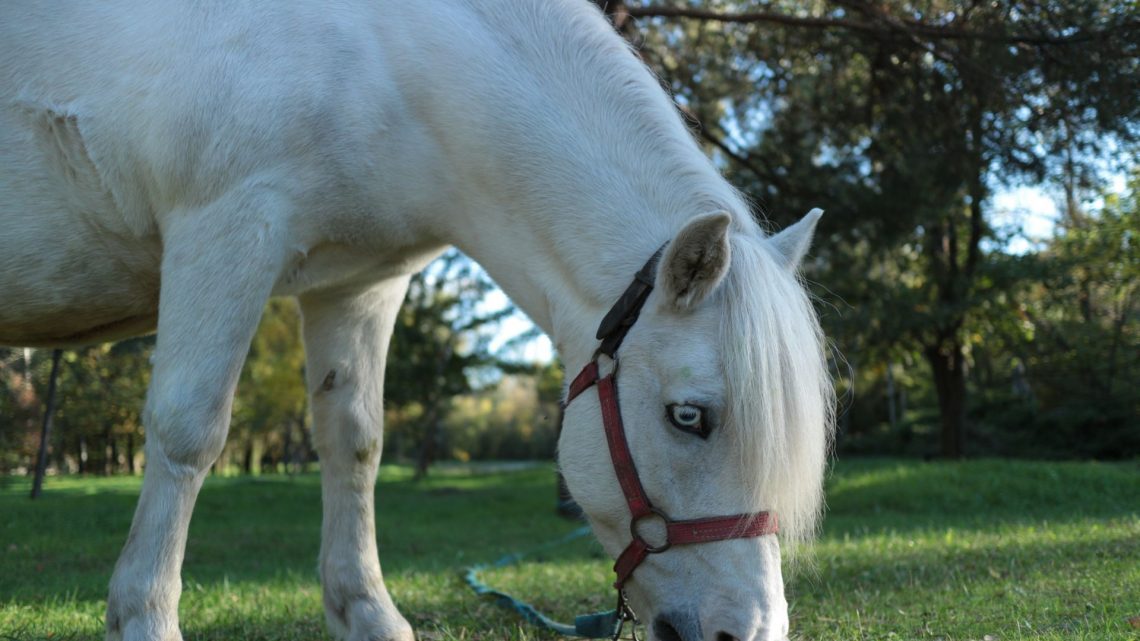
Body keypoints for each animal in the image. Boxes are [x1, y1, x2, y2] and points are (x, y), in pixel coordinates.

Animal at [2, 1, 829, 638]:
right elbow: (188, 433)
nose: (751, 629)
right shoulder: (226, 228)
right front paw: (143, 616)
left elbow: (355, 445)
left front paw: (367, 613)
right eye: (690, 416)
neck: (381, 53)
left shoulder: (359, 283)